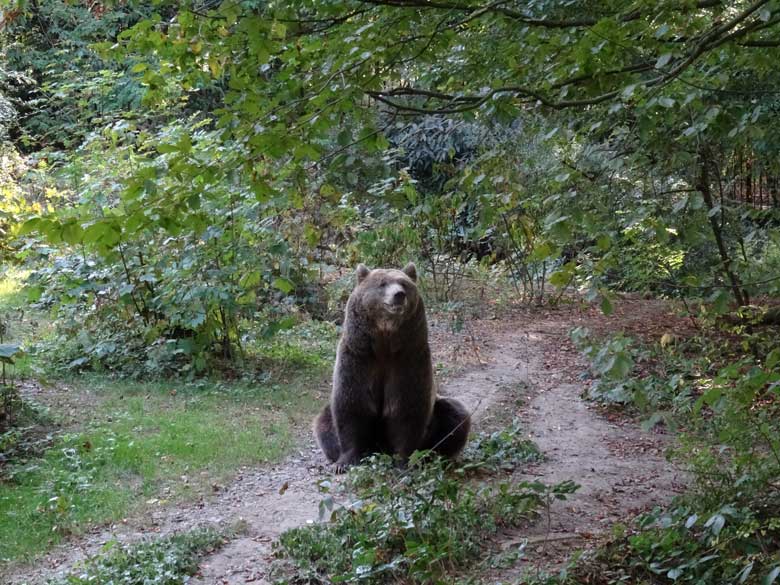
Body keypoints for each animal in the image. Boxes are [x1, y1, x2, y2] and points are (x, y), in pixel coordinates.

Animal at [312, 262, 470, 472]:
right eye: (382, 283)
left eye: (404, 283)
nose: (399, 294)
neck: (384, 343)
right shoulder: (358, 357)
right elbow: (351, 406)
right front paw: (344, 461)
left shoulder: (408, 360)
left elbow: (406, 409)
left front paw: (405, 460)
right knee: (324, 420)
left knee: (455, 415)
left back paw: (436, 456)